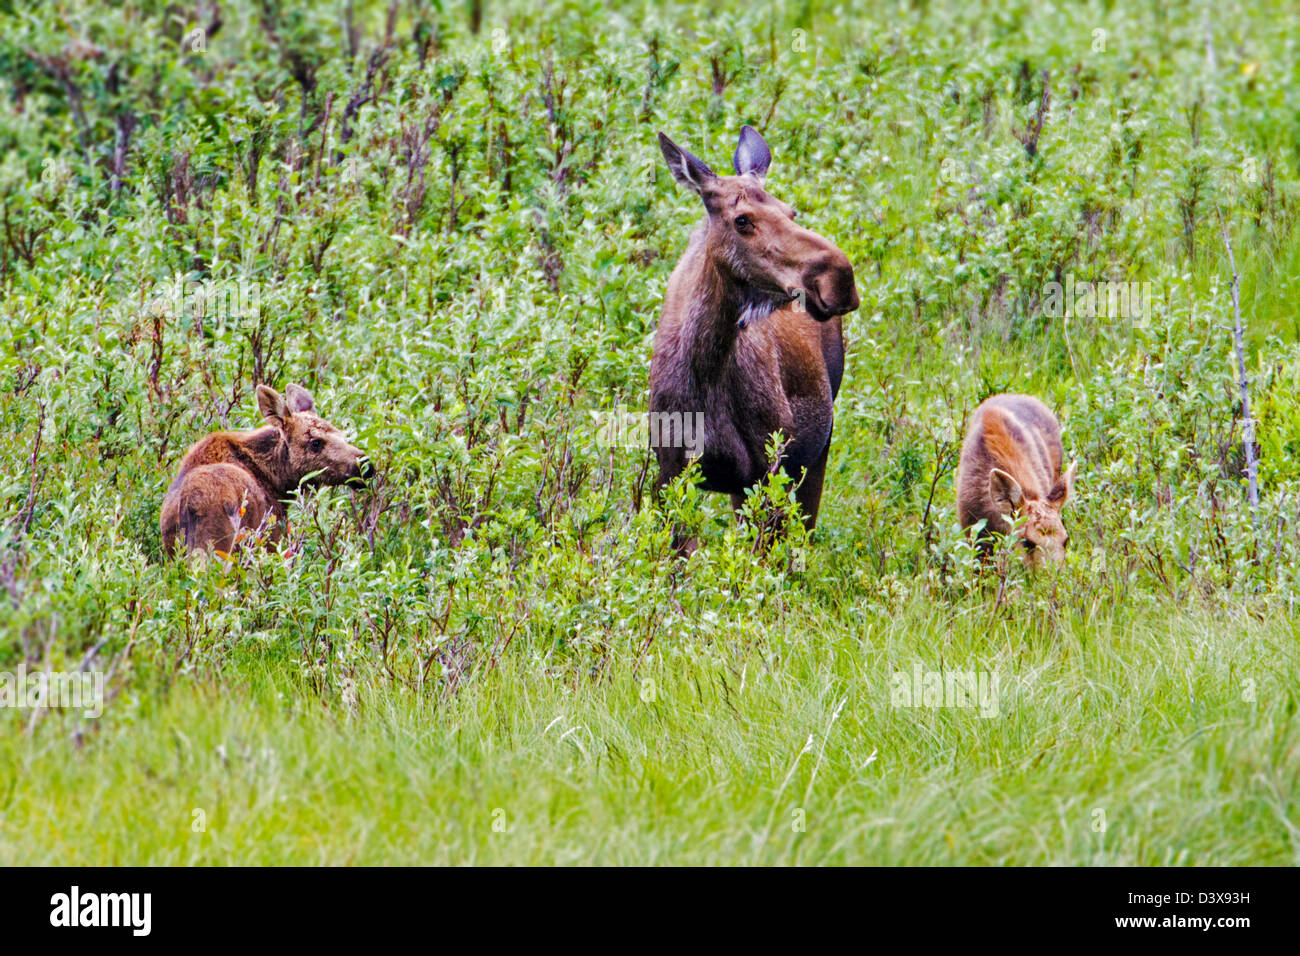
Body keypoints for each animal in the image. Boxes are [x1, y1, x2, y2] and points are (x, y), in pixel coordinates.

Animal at [162, 382, 369, 556]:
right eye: (315, 442)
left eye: (341, 434)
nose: (366, 466)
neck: (278, 482)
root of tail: (192, 503)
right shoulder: (273, 533)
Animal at [650, 124, 863, 541]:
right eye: (742, 220)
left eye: (790, 211)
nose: (839, 277)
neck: (706, 369)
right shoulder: (671, 473)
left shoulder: (767, 470)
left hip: (816, 448)